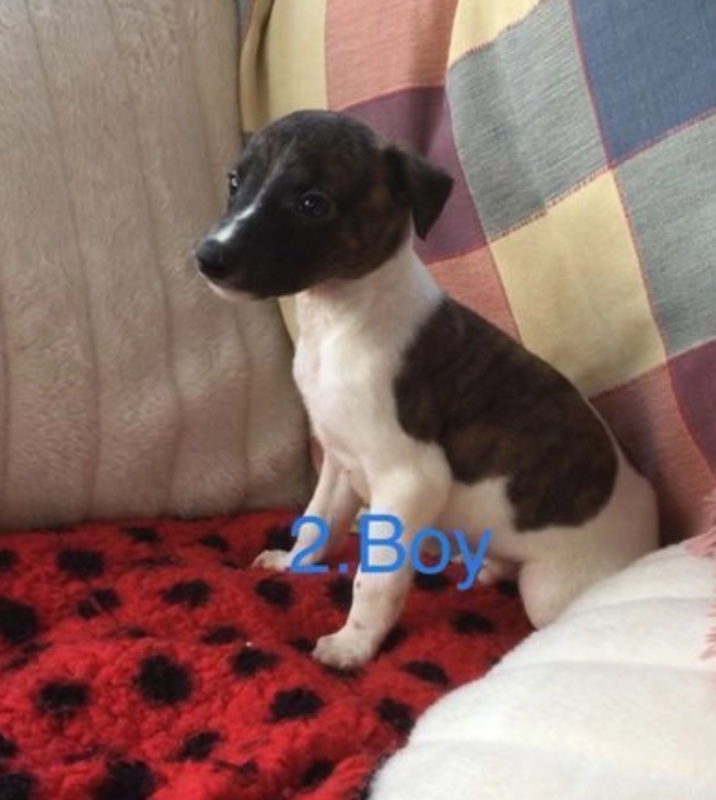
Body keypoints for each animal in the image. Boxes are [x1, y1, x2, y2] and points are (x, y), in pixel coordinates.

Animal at [195, 110, 659, 669]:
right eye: (234, 181)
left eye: (313, 203)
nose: (209, 257)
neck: (342, 318)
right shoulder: (339, 460)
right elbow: (316, 521)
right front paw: (292, 563)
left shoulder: (409, 481)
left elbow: (373, 581)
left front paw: (352, 646)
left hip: (550, 588)